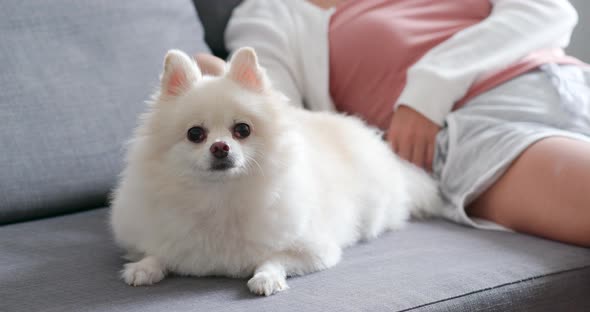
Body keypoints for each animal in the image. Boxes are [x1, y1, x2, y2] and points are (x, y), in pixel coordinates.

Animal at [110, 47, 444, 296]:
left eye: (242, 130)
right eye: (195, 134)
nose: (220, 147)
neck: (221, 196)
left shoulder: (315, 251)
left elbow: (275, 258)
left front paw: (267, 277)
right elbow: (158, 250)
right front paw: (144, 267)